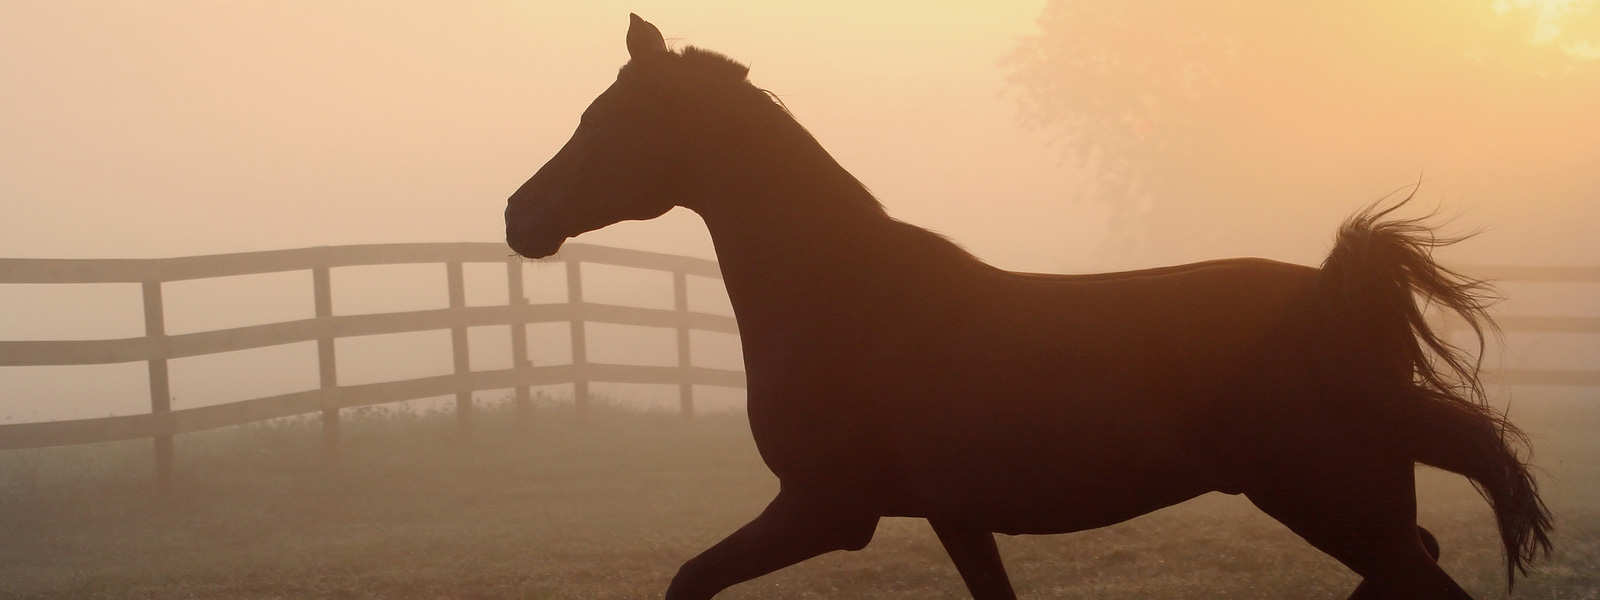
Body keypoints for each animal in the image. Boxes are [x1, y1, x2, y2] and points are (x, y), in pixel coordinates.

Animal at [502, 15, 1548, 600]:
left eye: (605, 121)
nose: (519, 215)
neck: (847, 300)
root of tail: (1336, 293)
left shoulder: (825, 509)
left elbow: (689, 579)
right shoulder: (955, 516)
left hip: (1333, 499)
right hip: (1359, 506)